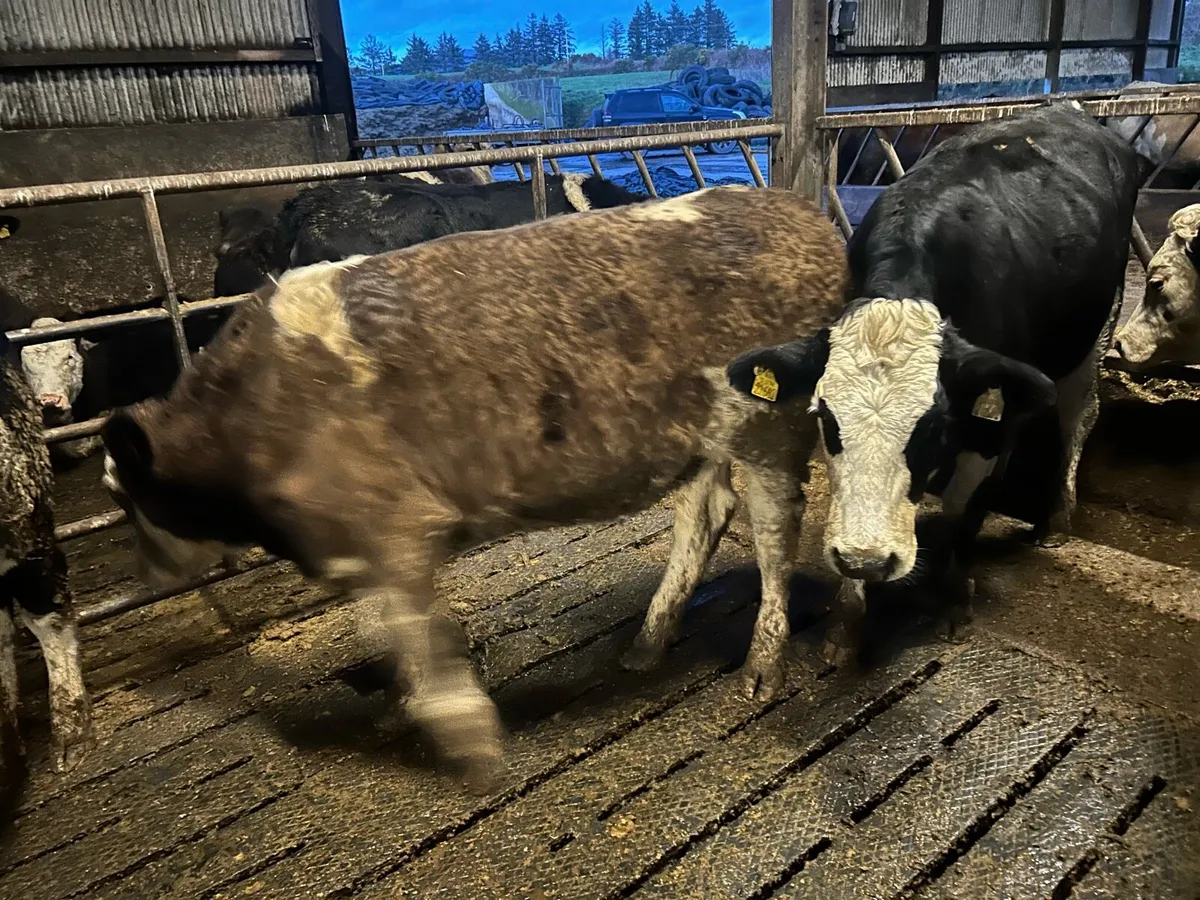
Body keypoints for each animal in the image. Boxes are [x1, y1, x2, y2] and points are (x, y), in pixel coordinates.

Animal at [99, 186, 847, 791]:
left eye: (126, 496)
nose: (144, 573)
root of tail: (792, 207)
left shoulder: (392, 529)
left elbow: (421, 649)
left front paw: (472, 747)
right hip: (699, 435)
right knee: (706, 509)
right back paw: (648, 641)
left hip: (772, 429)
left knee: (777, 529)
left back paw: (765, 665)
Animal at [726, 101, 1153, 666]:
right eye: (826, 420)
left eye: (933, 425)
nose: (867, 559)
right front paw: (847, 625)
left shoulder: (987, 410)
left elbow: (961, 513)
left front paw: (954, 602)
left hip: (1097, 326)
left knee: (1077, 415)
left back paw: (1056, 520)